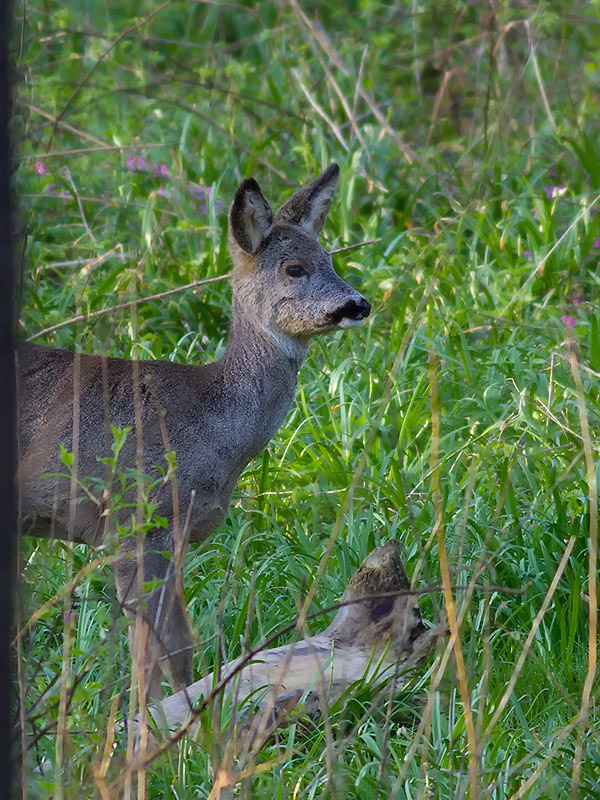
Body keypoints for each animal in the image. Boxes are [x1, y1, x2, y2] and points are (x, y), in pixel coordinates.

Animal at [17, 164, 370, 700]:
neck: (211, 424)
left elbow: (179, 649)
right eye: (294, 268)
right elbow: (148, 653)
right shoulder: (137, 521)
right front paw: (146, 721)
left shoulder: (179, 535)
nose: (358, 304)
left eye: (330, 258)